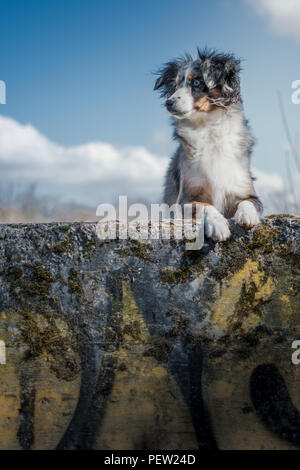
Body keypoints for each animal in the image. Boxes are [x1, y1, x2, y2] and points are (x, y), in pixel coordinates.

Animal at [155, 49, 262, 241]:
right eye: (176, 85)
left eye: (196, 82)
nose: (168, 102)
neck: (209, 128)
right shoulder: (185, 199)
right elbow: (205, 206)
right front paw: (217, 224)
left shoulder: (248, 192)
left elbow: (247, 202)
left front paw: (247, 215)